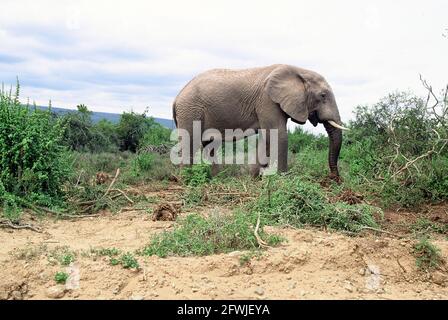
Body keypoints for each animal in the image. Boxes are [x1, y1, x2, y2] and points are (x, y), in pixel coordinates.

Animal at [173, 63, 348, 179]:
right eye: (323, 95)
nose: (334, 179)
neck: (299, 71)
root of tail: (177, 97)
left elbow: (267, 138)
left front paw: (255, 178)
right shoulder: (267, 100)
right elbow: (279, 135)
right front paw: (282, 179)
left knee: (209, 144)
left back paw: (215, 179)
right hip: (190, 110)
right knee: (191, 142)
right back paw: (187, 181)